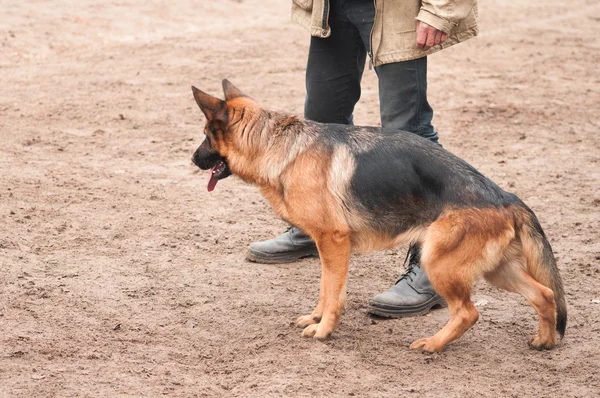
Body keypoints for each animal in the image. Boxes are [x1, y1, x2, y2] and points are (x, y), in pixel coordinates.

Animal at [191, 80, 568, 352]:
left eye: (206, 135)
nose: (192, 160)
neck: (277, 144)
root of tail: (506, 197)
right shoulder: (326, 248)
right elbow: (325, 289)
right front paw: (315, 318)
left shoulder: (334, 243)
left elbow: (333, 293)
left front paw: (324, 329)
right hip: (497, 270)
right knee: (545, 295)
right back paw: (545, 341)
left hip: (438, 263)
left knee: (468, 312)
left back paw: (433, 344)